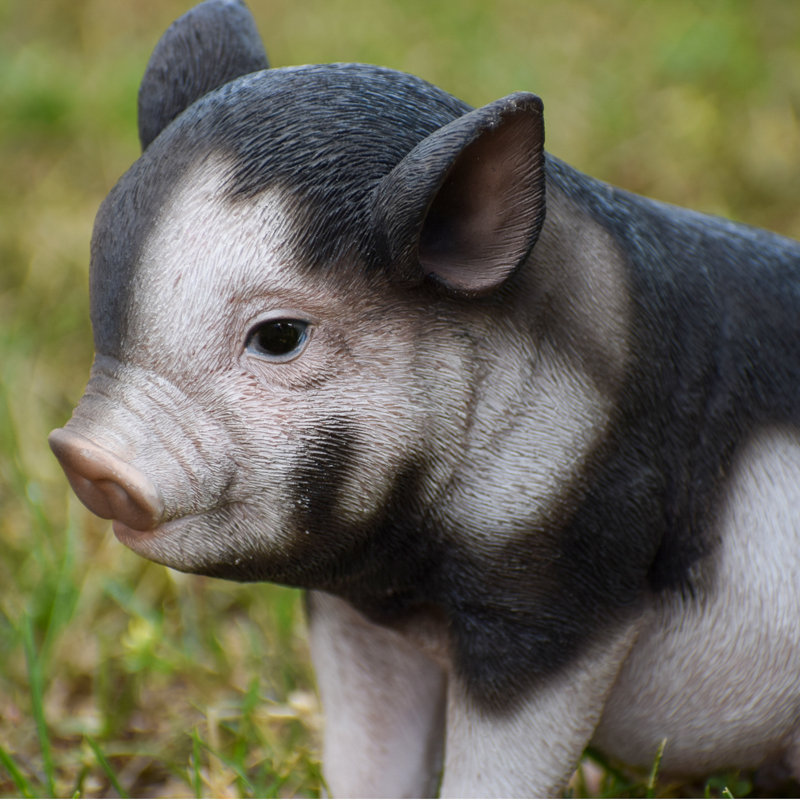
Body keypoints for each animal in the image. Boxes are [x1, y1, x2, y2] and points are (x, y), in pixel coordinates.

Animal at [48, 0, 800, 797]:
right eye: (104, 294)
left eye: (280, 336)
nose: (82, 457)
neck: (410, 568)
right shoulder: (358, 614)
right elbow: (368, 747)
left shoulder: (564, 585)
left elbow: (505, 764)